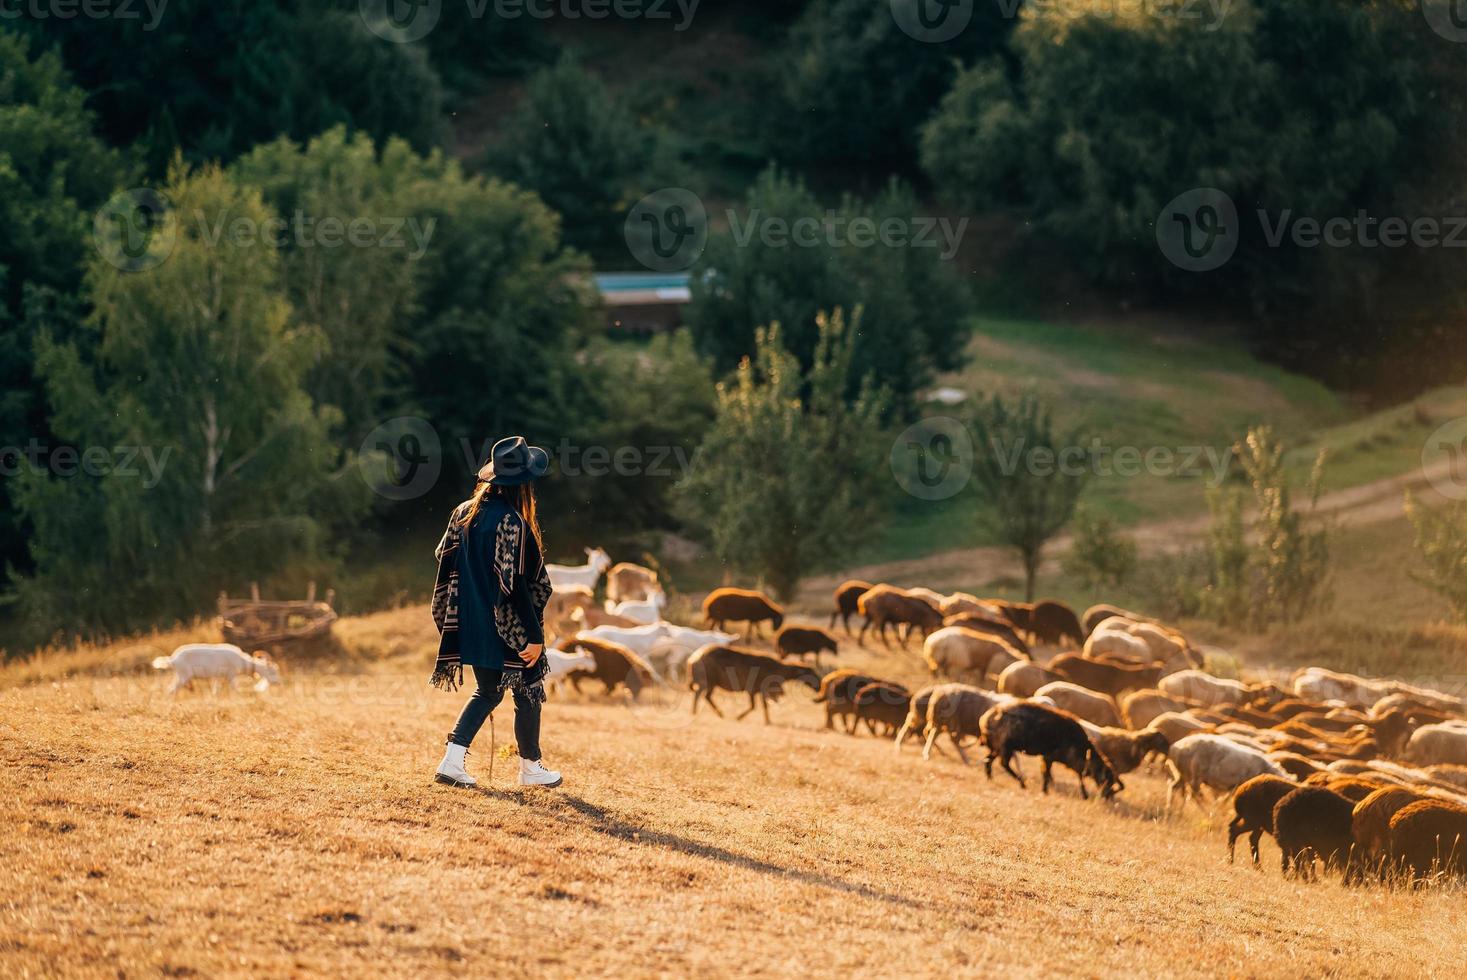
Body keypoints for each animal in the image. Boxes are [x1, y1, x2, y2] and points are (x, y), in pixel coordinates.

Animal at [151, 642, 280, 695]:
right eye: (272, 671)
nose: (277, 682)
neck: (242, 661)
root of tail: (173, 659)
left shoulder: (218, 677)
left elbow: (216, 690)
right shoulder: (231, 674)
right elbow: (234, 688)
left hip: (179, 675)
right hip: (184, 675)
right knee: (171, 689)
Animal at [683, 642, 821, 718]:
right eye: (811, 673)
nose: (819, 686)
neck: (780, 669)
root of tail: (692, 659)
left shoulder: (759, 690)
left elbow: (763, 707)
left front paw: (768, 721)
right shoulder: (754, 689)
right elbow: (754, 706)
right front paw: (739, 717)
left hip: (712, 682)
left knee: (706, 696)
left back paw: (718, 713)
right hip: (707, 680)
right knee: (699, 694)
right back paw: (696, 712)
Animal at [974, 701, 1120, 798]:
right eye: (1107, 779)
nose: (1108, 796)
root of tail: (986, 717)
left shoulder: (1048, 758)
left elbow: (1048, 774)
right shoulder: (1050, 757)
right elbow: (1051, 775)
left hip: (997, 748)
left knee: (988, 760)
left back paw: (990, 777)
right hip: (1006, 747)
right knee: (1003, 764)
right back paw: (1022, 782)